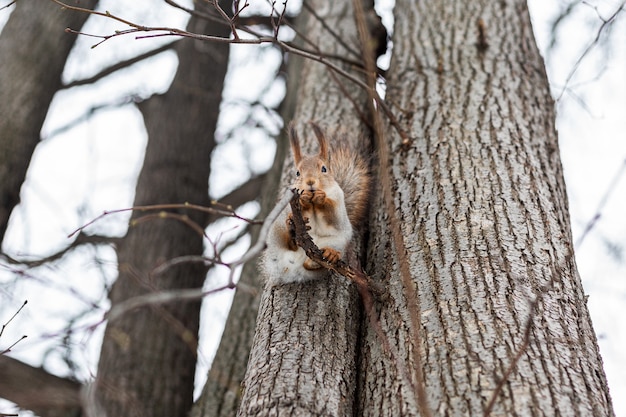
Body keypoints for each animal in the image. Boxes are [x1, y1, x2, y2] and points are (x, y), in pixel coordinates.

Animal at [260, 120, 368, 282]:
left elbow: (333, 215)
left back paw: (327, 255)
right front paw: (303, 199)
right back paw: (292, 230)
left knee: (314, 262)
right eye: (297, 173)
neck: (313, 205)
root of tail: (291, 266)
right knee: (289, 243)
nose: (310, 182)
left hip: (338, 241)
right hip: (275, 231)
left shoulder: (339, 201)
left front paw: (321, 197)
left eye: (324, 169)